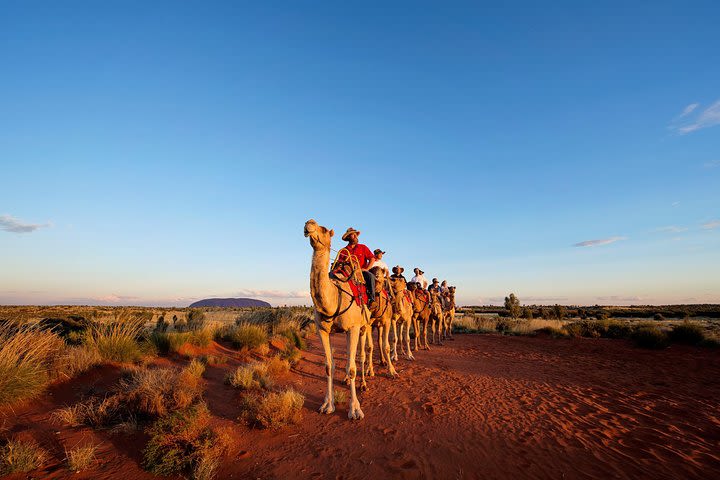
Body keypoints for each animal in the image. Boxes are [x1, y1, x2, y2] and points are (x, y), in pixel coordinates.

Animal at [302, 218, 366, 420]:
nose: (309, 223)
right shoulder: (322, 329)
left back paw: (364, 382)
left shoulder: (353, 327)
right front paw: (327, 405)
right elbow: (329, 366)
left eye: (323, 229)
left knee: (363, 355)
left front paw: (355, 410)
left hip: (365, 326)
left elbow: (352, 368)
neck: (335, 296)